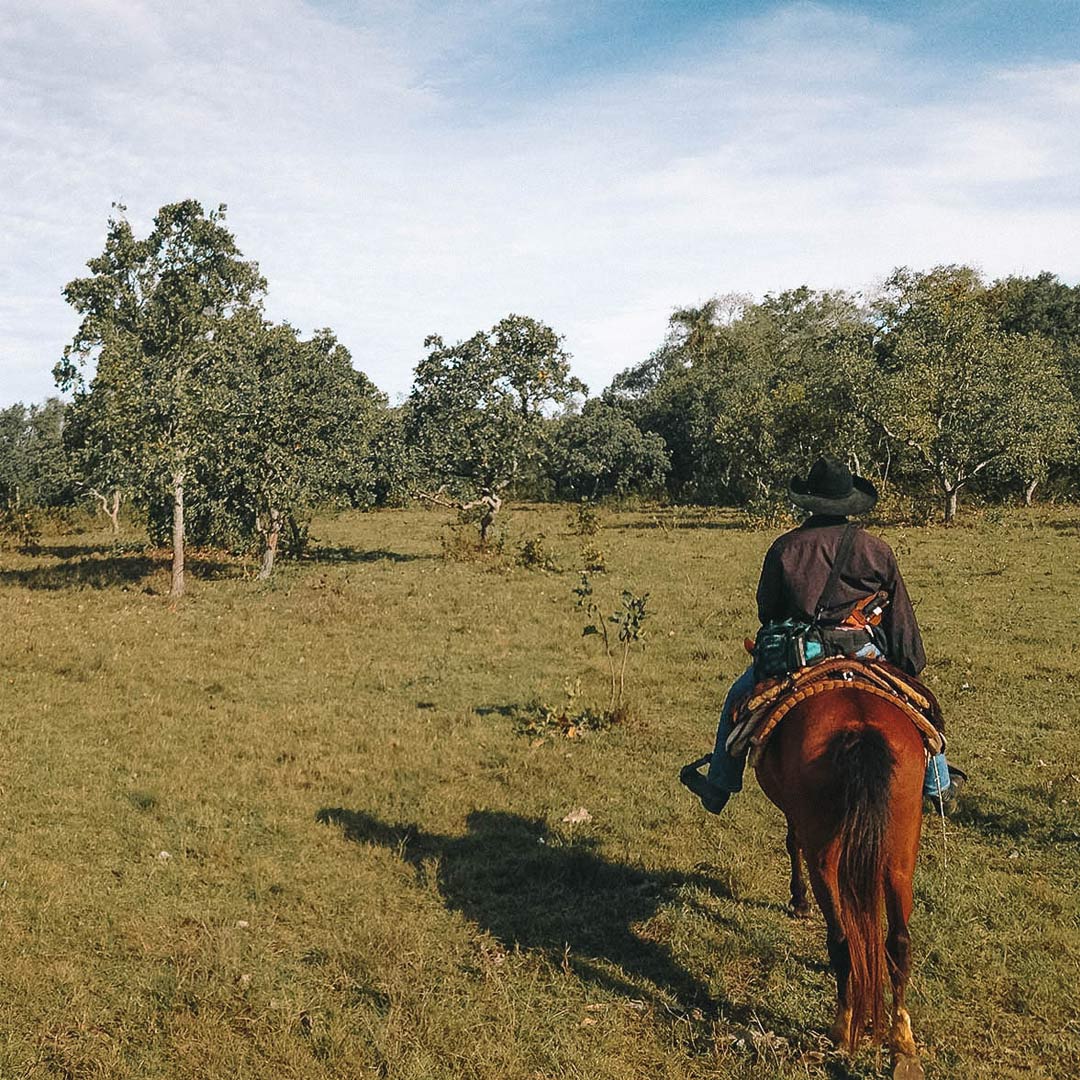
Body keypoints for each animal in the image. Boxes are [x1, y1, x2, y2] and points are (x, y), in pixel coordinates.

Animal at [756, 686, 924, 1075]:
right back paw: (901, 1039)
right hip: (901, 852)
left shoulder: (796, 813)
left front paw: (798, 901)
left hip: (823, 855)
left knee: (841, 939)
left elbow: (792, 840)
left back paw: (842, 1025)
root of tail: (861, 728)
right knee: (899, 941)